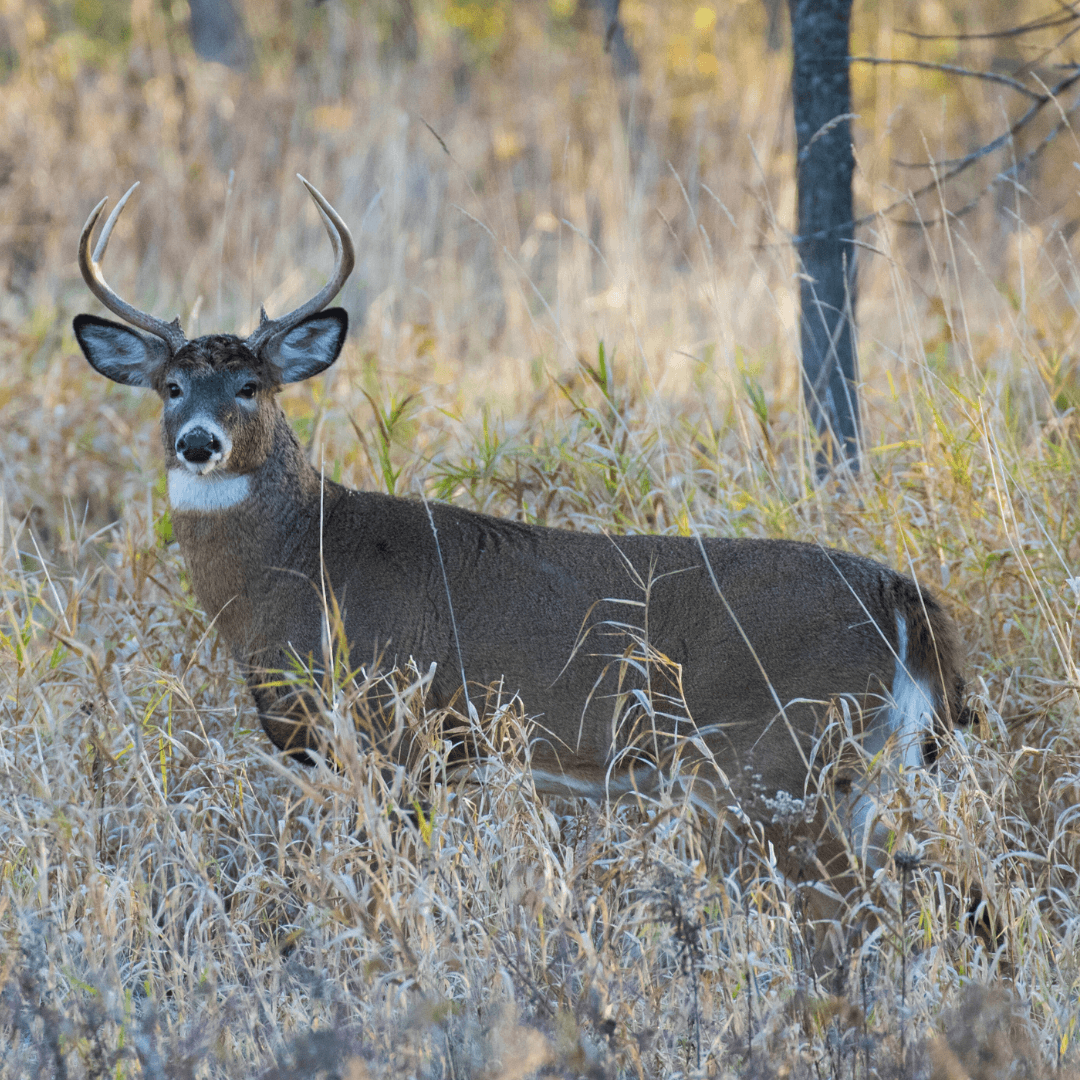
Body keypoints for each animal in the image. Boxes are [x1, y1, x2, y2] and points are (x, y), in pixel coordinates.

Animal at [76, 181, 972, 907]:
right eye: (171, 386)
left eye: (251, 386)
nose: (198, 443)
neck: (304, 568)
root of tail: (904, 601)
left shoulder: (401, 732)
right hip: (863, 768)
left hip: (775, 760)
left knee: (853, 908)